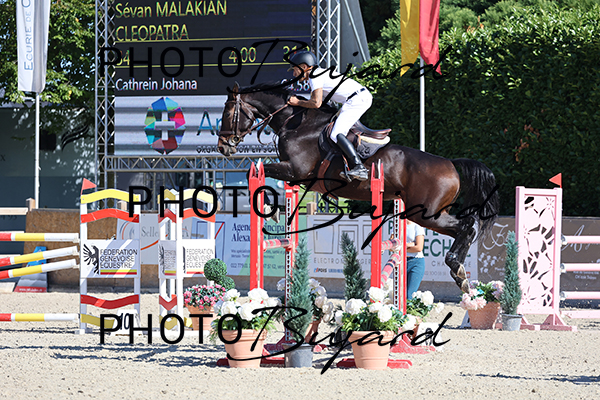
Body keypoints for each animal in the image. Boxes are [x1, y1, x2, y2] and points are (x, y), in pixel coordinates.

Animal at [217, 82, 500, 292]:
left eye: (228, 112)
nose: (222, 147)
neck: (295, 123)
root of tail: (450, 163)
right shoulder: (297, 176)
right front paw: (274, 208)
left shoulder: (295, 170)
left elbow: (260, 172)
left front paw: (270, 208)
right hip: (429, 212)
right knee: (466, 227)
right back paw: (460, 274)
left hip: (426, 214)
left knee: (467, 226)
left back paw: (457, 269)